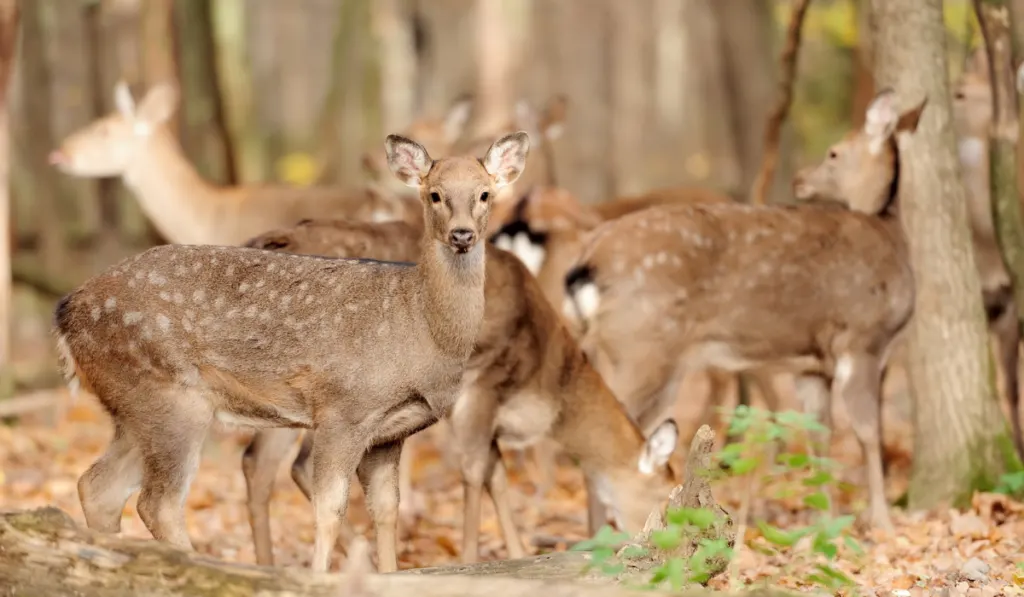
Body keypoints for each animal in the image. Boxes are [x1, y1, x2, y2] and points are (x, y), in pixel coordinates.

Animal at [51, 132, 532, 573]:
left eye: (485, 193)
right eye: (435, 194)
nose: (462, 234)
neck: (421, 326)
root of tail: (66, 313)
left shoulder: (389, 433)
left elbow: (386, 510)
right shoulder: (343, 410)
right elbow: (328, 508)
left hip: (135, 409)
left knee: (97, 485)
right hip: (169, 397)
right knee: (158, 503)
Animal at [239, 218, 679, 565]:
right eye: (664, 495)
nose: (662, 542)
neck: (545, 381)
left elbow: (496, 475)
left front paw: (517, 553)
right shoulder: (481, 384)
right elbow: (473, 472)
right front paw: (470, 558)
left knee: (258, 462)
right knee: (292, 466)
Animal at [565, 87, 925, 528]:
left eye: (834, 153)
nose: (800, 180)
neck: (890, 236)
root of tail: (588, 258)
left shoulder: (813, 365)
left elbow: (820, 435)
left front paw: (826, 518)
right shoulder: (861, 339)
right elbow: (867, 432)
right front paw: (882, 521)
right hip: (640, 347)